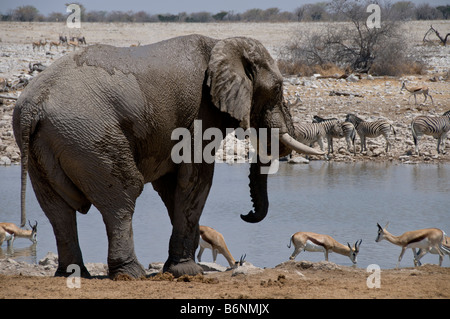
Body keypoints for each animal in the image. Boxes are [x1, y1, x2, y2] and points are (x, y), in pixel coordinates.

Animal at [14, 34, 324, 280]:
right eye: (278, 89)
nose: (246, 215)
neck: (221, 43)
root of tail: (32, 107)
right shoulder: (201, 112)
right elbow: (196, 178)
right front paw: (187, 272)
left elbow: (170, 185)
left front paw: (178, 268)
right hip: (89, 136)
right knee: (122, 196)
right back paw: (131, 275)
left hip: (44, 145)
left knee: (57, 210)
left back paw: (74, 274)